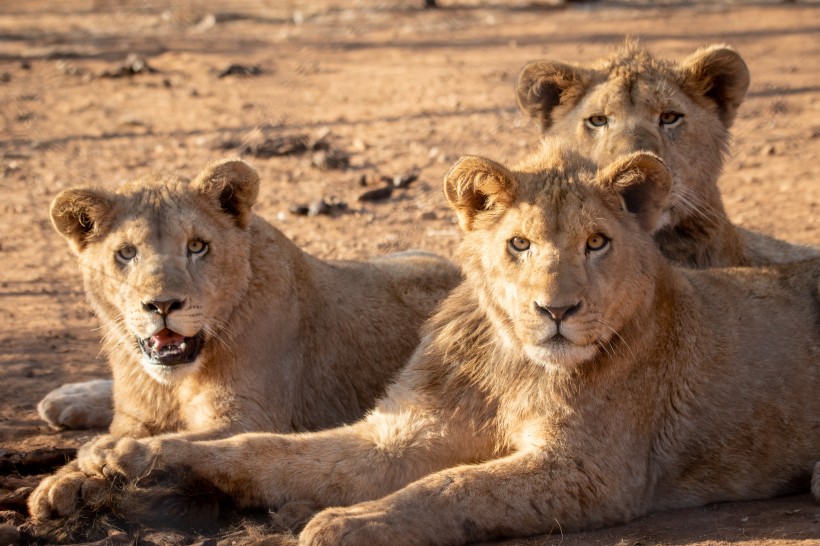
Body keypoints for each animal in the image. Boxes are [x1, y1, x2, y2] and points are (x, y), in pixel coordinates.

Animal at [38, 156, 462, 438]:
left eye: (197, 246)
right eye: (126, 253)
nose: (162, 305)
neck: (176, 384)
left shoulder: (249, 419)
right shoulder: (136, 417)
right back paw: (66, 397)